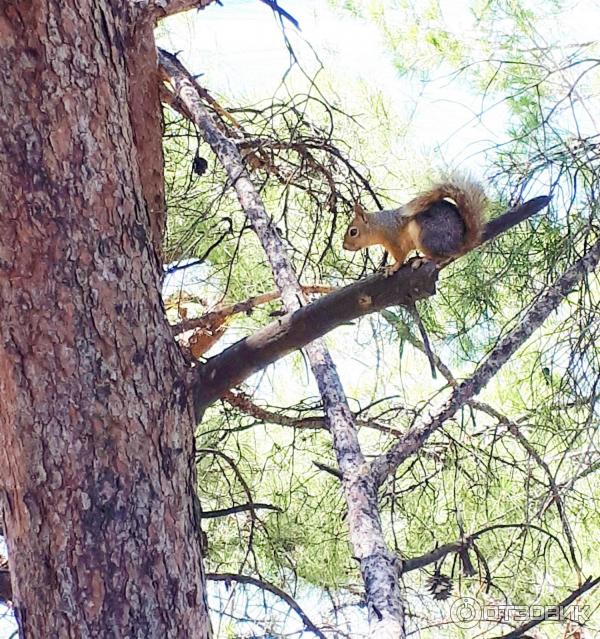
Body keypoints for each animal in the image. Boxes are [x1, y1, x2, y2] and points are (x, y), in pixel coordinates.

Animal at [342, 178, 488, 276]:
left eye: (353, 232)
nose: (344, 247)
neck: (380, 225)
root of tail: (460, 243)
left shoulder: (394, 241)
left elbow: (400, 258)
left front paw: (392, 267)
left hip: (426, 237)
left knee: (441, 257)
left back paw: (422, 259)